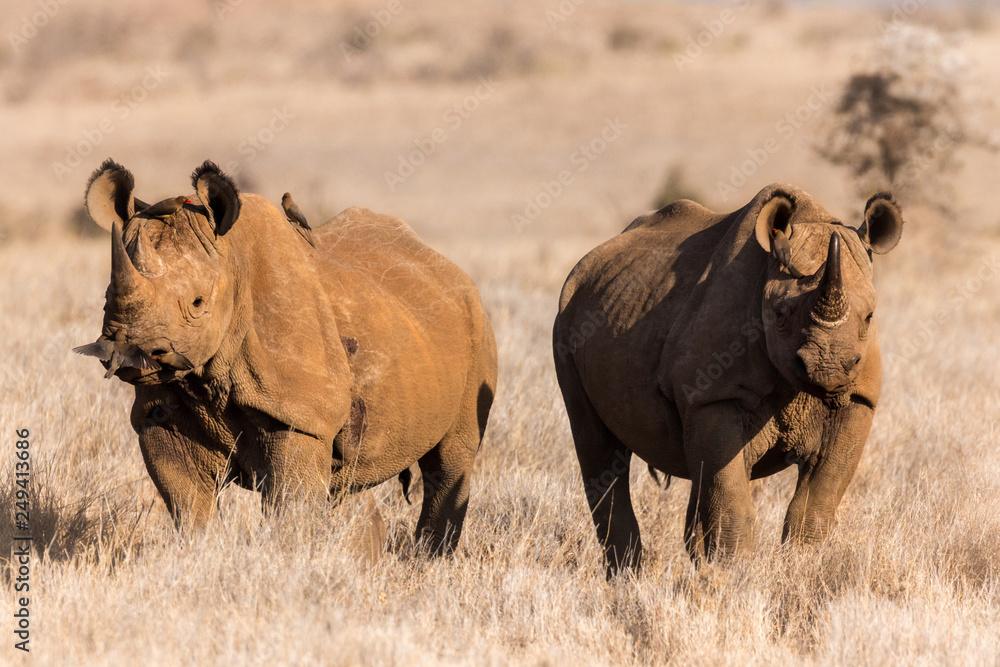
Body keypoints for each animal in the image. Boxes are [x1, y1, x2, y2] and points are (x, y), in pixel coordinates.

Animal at [77, 159, 497, 554]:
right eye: (106, 296)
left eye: (197, 304)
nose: (129, 351)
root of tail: (446, 266)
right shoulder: (160, 416)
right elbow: (189, 505)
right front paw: (202, 557)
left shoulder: (300, 416)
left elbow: (290, 504)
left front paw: (288, 561)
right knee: (346, 477)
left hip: (475, 327)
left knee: (450, 461)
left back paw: (427, 560)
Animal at [553, 184, 903, 574]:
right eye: (780, 314)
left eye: (869, 316)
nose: (828, 368)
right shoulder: (713, 396)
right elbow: (731, 501)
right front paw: (737, 573)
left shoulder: (859, 399)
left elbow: (814, 504)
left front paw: (799, 569)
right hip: (565, 321)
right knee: (597, 447)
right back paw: (627, 576)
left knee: (698, 476)